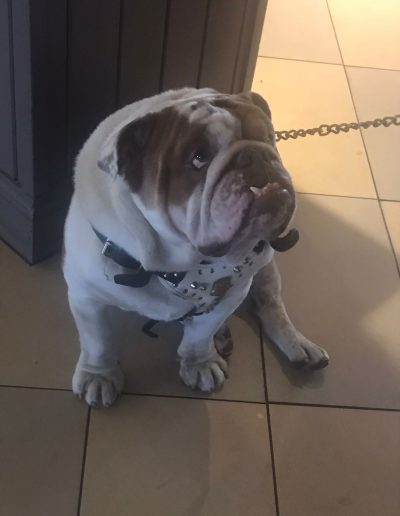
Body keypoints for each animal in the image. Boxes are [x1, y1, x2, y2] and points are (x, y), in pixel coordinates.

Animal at [63, 87, 329, 407]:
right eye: (198, 158)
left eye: (268, 137)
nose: (255, 154)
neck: (176, 264)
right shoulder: (86, 296)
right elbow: (97, 340)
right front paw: (98, 375)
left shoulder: (232, 294)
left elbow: (199, 336)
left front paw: (200, 363)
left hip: (267, 269)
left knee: (271, 306)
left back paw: (299, 346)